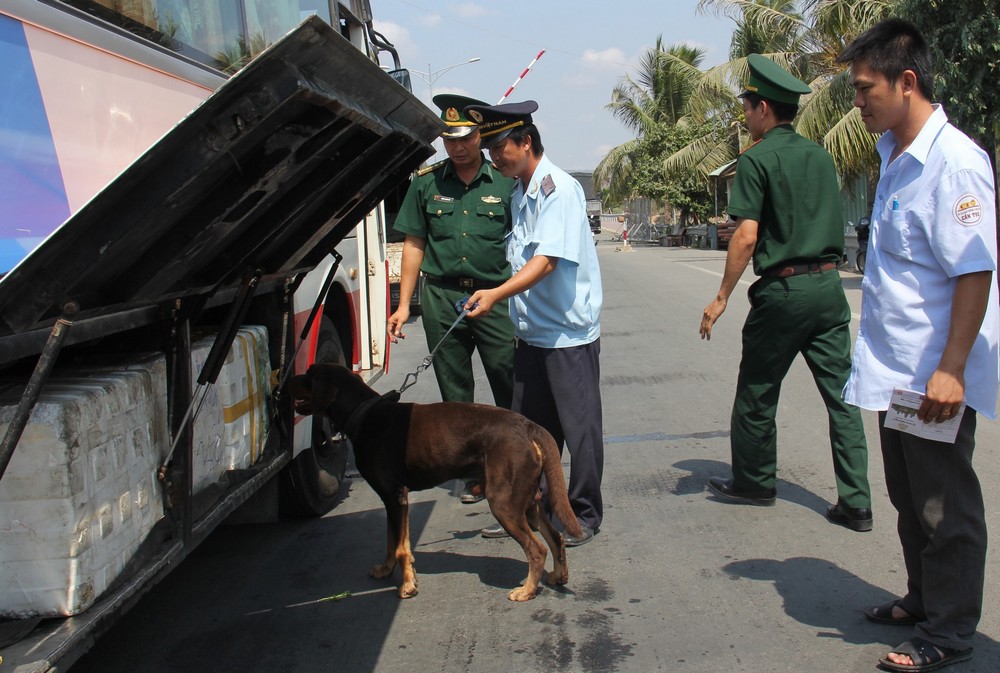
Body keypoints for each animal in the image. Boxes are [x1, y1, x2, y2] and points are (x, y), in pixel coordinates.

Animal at [286, 364, 584, 600]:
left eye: (309, 374)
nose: (286, 381)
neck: (363, 412)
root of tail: (528, 426)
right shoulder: (394, 500)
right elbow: (393, 541)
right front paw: (386, 569)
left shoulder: (394, 495)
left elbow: (400, 547)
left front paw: (407, 586)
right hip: (528, 500)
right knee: (555, 537)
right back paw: (558, 576)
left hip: (504, 502)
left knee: (537, 549)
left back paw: (527, 591)